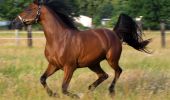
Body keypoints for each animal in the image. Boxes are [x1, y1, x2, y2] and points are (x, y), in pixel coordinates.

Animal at [12, 0, 150, 98]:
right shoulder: (53, 65)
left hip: (111, 59)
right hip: (93, 64)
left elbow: (64, 88)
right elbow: (42, 79)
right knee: (104, 75)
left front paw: (77, 95)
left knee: (118, 71)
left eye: (29, 9)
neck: (59, 39)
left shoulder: (69, 67)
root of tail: (115, 33)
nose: (14, 22)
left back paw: (110, 91)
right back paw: (89, 90)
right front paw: (53, 94)